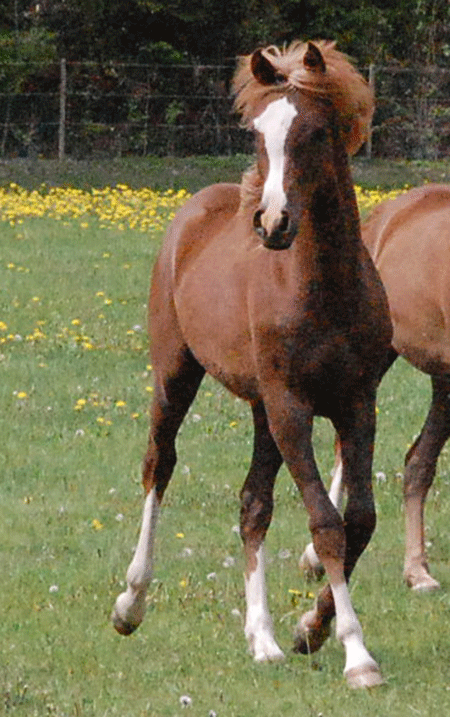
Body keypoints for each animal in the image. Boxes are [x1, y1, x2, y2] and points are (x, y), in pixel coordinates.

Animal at [111, 40, 390, 688]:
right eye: (259, 135)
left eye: (315, 132)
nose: (272, 223)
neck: (325, 288)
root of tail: (194, 211)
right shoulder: (292, 407)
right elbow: (326, 523)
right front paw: (356, 653)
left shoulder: (356, 403)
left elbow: (358, 519)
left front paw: (310, 629)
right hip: (177, 376)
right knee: (158, 466)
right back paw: (130, 603)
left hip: (261, 410)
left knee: (252, 506)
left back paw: (261, 638)